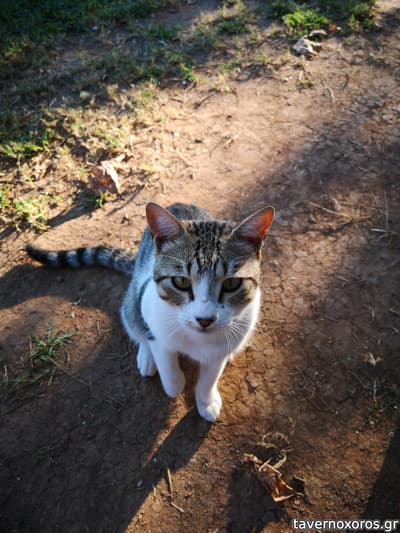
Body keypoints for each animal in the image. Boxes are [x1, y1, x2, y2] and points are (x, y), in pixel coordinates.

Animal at [26, 202, 274, 421]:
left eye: (232, 283)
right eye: (180, 282)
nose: (204, 319)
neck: (197, 340)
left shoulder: (218, 351)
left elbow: (209, 378)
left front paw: (206, 401)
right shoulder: (150, 310)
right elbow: (167, 365)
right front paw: (174, 382)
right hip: (133, 298)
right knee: (135, 324)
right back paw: (146, 356)